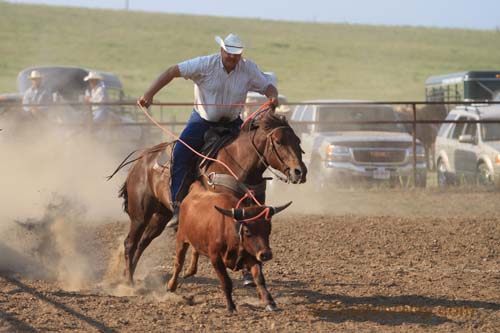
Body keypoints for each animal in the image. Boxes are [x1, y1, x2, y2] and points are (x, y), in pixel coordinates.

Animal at [116, 107, 304, 284]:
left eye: (298, 140)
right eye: (279, 142)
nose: (300, 171)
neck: (237, 165)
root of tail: (141, 160)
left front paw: (248, 276)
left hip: (160, 216)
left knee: (142, 243)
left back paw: (129, 274)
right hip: (140, 215)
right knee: (130, 243)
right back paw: (128, 281)